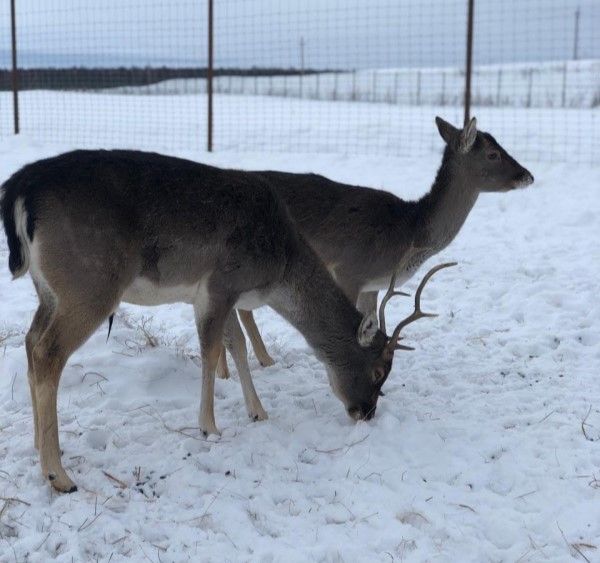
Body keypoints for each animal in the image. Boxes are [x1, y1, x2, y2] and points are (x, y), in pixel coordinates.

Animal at [1, 149, 454, 494]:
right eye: (378, 370)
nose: (366, 412)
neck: (278, 268)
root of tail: (20, 187)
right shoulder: (220, 283)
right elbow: (212, 349)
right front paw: (209, 427)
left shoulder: (227, 295)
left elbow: (236, 345)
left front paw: (258, 412)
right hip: (89, 283)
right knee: (48, 352)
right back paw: (59, 475)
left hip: (49, 290)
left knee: (30, 341)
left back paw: (38, 445)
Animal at [217, 115, 536, 388]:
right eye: (493, 154)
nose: (528, 176)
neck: (408, 234)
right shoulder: (350, 270)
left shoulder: (373, 284)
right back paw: (235, 370)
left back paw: (251, 364)